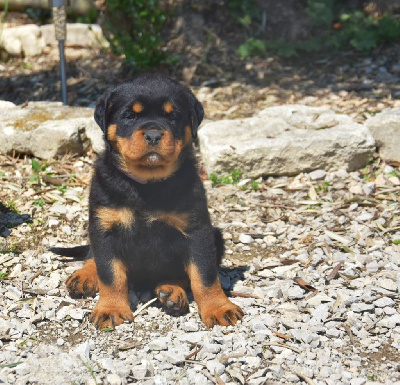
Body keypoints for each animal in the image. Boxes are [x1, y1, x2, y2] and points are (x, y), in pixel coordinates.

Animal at [50, 73, 244, 328]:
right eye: (130, 116)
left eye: (173, 116)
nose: (153, 135)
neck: (147, 184)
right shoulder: (105, 228)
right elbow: (110, 273)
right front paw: (110, 308)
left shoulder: (198, 230)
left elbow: (205, 274)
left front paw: (219, 307)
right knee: (94, 256)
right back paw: (85, 275)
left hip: (216, 236)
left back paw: (171, 291)